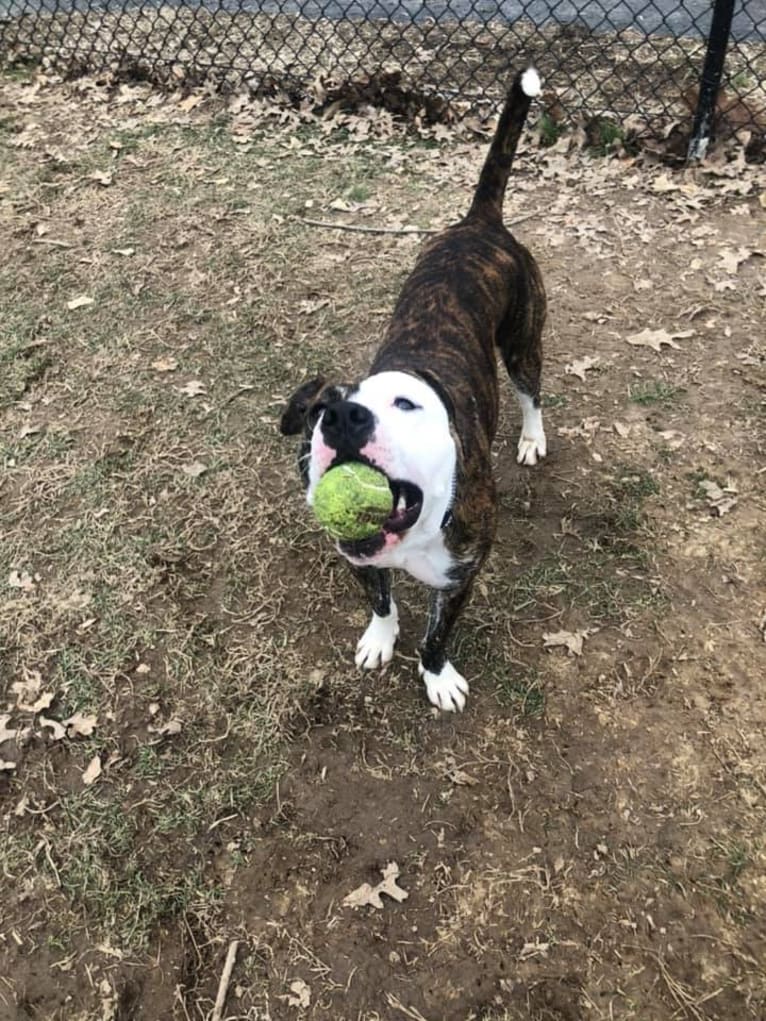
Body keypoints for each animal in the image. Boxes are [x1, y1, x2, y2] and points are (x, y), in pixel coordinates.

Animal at [279, 69, 547, 710]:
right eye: (318, 412)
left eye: (407, 405)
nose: (344, 418)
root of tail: (481, 224)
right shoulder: (356, 556)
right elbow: (380, 600)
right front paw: (380, 638)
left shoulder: (462, 574)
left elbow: (436, 634)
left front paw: (437, 675)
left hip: (523, 342)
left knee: (531, 390)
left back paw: (532, 437)